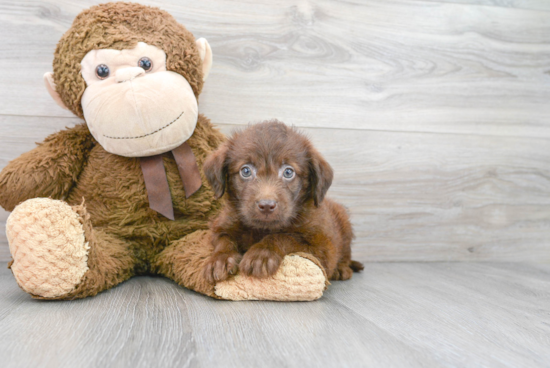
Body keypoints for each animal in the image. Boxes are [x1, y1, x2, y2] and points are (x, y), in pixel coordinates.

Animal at [203, 121, 366, 284]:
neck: (262, 229)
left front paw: (261, 253)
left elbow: (285, 237)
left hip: (343, 222)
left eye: (288, 172)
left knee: (346, 253)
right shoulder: (220, 227)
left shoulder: (322, 248)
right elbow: (224, 240)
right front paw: (221, 258)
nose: (266, 206)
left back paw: (342, 269)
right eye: (246, 171)